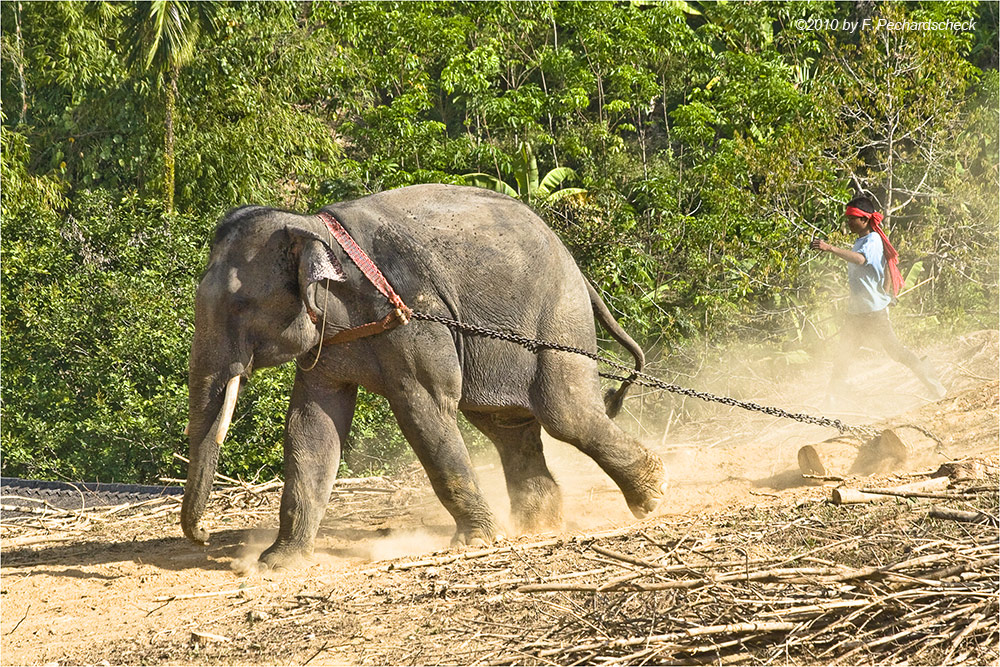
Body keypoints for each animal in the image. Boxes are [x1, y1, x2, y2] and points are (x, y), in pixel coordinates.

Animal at [184, 183, 668, 568]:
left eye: (239, 305)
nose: (204, 535)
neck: (316, 228)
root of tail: (576, 266)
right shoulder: (329, 339)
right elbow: (312, 426)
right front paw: (274, 565)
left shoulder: (415, 315)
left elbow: (423, 410)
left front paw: (476, 542)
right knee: (506, 426)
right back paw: (539, 527)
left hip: (558, 317)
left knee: (565, 414)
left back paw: (654, 495)